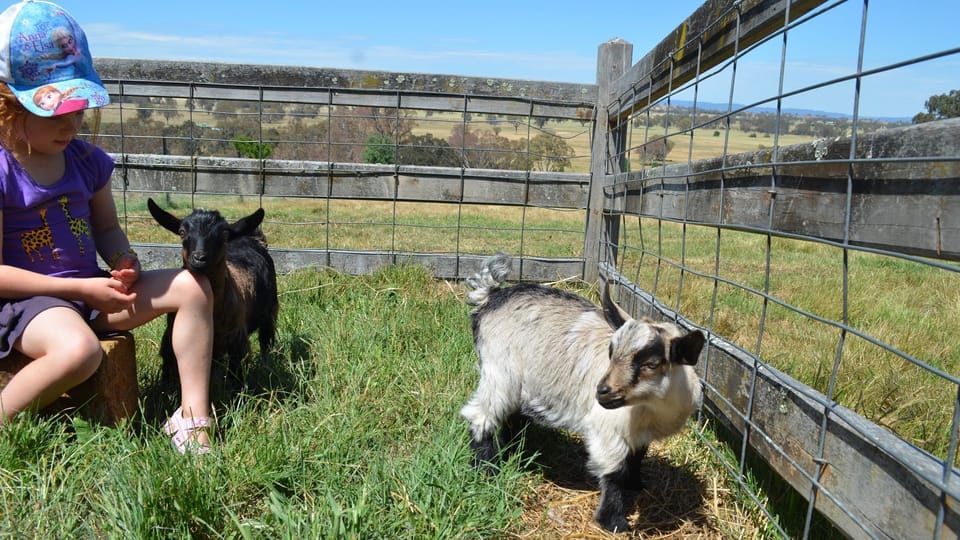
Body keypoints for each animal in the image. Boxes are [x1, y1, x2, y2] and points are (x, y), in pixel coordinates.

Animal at [147, 198, 279, 392]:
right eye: (182, 232)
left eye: (224, 234)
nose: (200, 258)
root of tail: (251, 238)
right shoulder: (170, 341)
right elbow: (169, 374)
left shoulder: (237, 341)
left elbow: (236, 377)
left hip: (270, 312)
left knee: (266, 342)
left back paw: (267, 366)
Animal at [460, 252, 705, 533]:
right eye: (611, 352)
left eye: (651, 364)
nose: (602, 392)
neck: (651, 409)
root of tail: (493, 295)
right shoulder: (608, 430)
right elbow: (613, 473)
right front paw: (614, 521)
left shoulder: (641, 433)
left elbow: (637, 457)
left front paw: (636, 484)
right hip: (499, 371)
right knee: (482, 415)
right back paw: (486, 467)